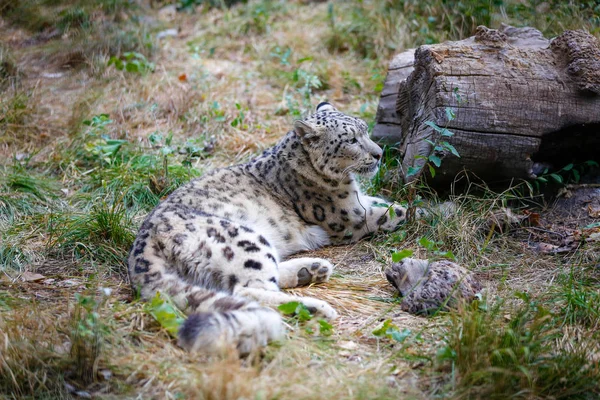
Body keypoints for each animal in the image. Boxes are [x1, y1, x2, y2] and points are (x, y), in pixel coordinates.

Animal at [129, 101, 410, 354]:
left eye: (365, 130)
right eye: (351, 140)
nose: (379, 154)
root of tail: (142, 244)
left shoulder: (360, 201)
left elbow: (382, 202)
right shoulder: (350, 215)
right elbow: (394, 213)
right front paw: (413, 211)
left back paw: (310, 270)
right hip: (243, 239)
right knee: (249, 290)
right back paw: (315, 306)